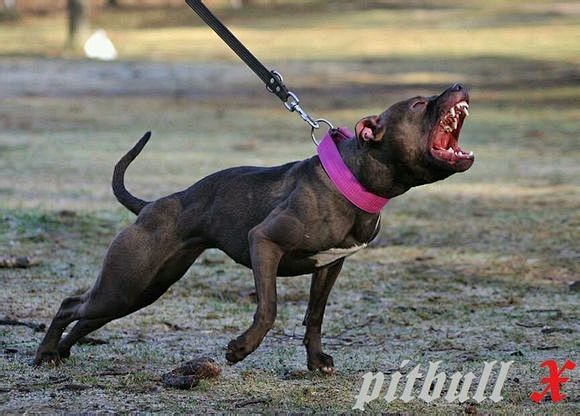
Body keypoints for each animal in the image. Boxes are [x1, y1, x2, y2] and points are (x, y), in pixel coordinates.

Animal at [34, 83, 474, 372]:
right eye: (419, 103)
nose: (458, 84)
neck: (353, 179)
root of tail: (150, 207)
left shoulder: (330, 266)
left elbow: (315, 316)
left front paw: (315, 360)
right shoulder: (264, 242)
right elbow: (269, 307)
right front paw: (240, 350)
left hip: (139, 290)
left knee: (86, 317)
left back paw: (62, 353)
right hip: (125, 282)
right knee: (70, 305)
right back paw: (44, 355)